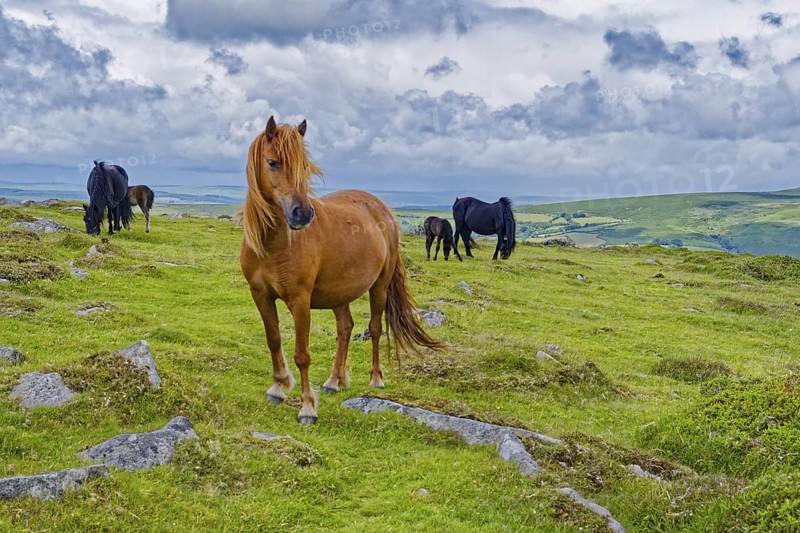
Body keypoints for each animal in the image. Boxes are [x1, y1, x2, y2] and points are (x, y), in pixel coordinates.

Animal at [240, 115, 443, 425]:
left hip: (379, 287)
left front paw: (307, 407)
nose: (303, 214)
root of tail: (380, 207)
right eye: (273, 163)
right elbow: (273, 339)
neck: (273, 244)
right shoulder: (259, 294)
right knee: (345, 327)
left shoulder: (300, 300)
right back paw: (334, 380)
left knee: (374, 328)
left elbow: (302, 354)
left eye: (305, 167)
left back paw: (376, 378)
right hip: (340, 291)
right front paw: (278, 386)